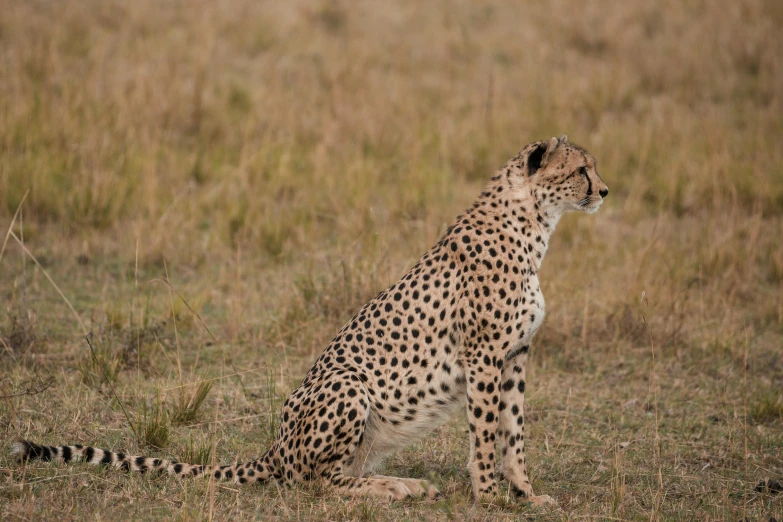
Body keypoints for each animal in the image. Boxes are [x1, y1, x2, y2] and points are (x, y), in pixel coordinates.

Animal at [15, 134, 608, 504]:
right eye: (581, 169)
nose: (605, 190)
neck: (533, 224)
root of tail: (273, 448)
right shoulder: (485, 356)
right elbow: (486, 434)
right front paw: (489, 497)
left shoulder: (516, 356)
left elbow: (514, 433)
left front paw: (526, 494)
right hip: (348, 385)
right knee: (315, 482)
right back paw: (395, 490)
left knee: (336, 473)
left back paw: (404, 484)